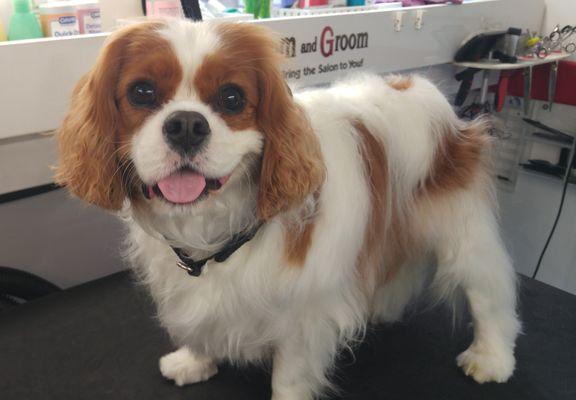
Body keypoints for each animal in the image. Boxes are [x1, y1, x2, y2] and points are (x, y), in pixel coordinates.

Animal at [56, 19, 520, 400]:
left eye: (231, 97)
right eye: (142, 92)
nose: (186, 124)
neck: (218, 228)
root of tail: (423, 90)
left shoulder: (305, 311)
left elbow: (290, 375)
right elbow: (201, 322)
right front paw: (194, 361)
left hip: (461, 232)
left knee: (489, 293)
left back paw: (491, 357)